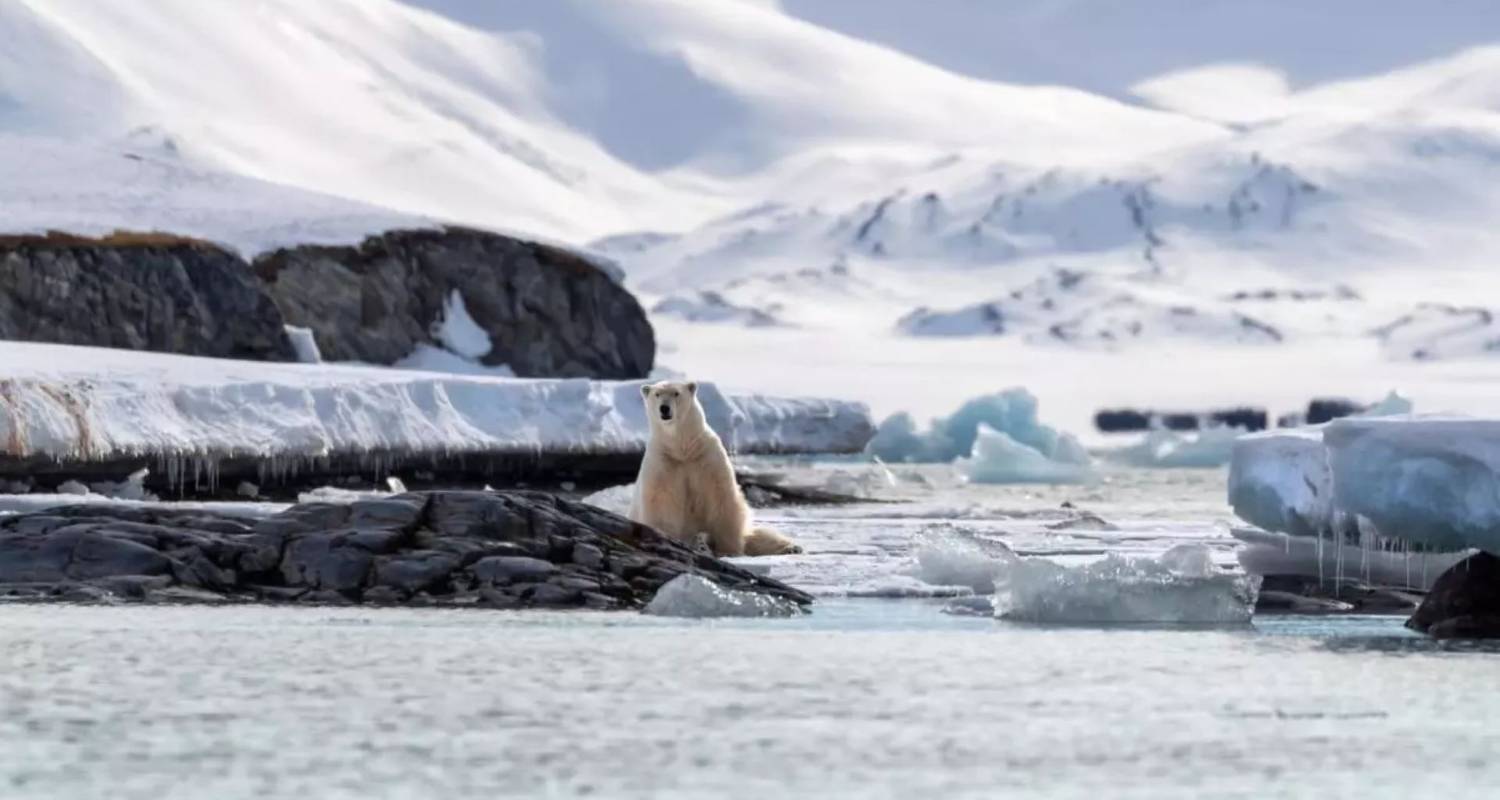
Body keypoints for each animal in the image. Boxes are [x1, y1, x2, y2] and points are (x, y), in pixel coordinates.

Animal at [630, 381, 804, 555]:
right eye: (657, 394)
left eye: (676, 393)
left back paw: (792, 547)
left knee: (760, 536)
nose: (664, 408)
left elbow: (720, 495)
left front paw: (728, 549)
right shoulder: (663, 461)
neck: (682, 449)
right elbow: (661, 498)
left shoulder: (707, 456)